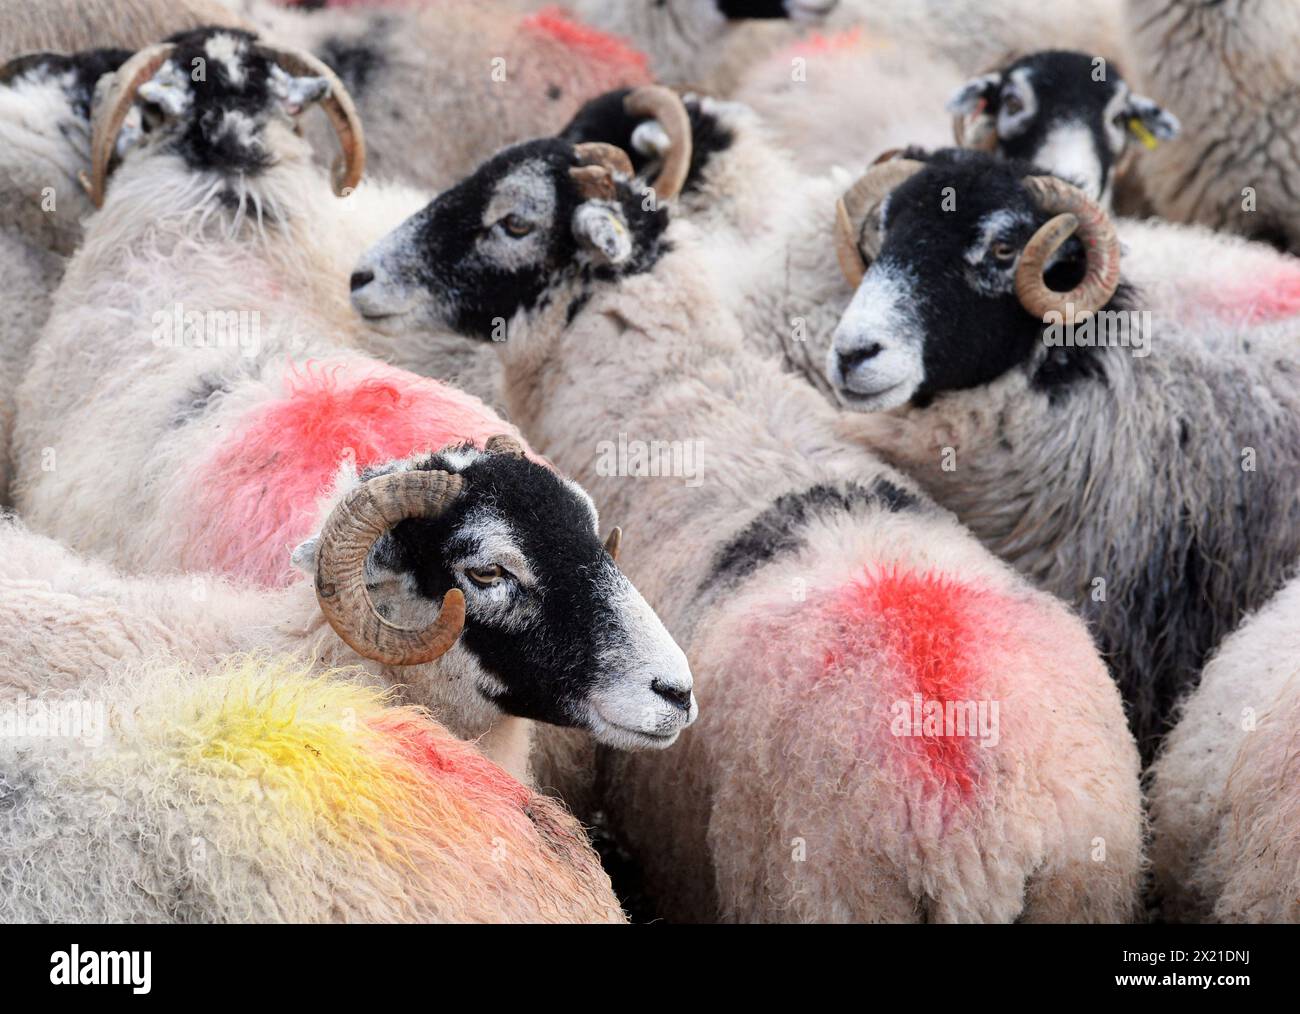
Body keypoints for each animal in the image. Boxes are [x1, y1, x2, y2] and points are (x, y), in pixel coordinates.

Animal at [350, 92, 1145, 922]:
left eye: (513, 222)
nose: (362, 276)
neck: (673, 382)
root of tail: (972, 842)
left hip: (817, 891)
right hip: (1083, 889)